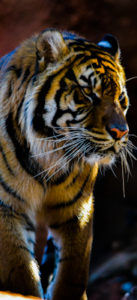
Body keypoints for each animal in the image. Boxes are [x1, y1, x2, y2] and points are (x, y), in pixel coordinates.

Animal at [0, 29, 131, 300]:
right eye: (88, 93)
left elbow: (72, 271)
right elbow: (19, 269)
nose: (121, 132)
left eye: (121, 98)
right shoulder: (7, 206)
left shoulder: (76, 209)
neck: (49, 156)